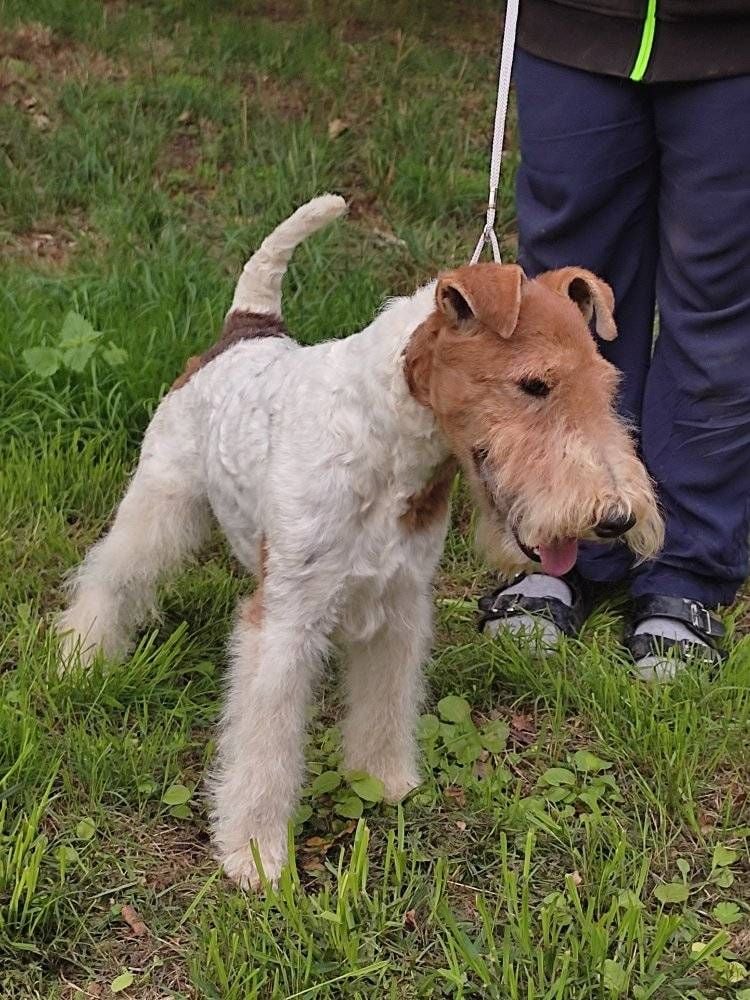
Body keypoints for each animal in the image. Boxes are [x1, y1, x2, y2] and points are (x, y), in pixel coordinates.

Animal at [58, 193, 664, 884]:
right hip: (159, 499)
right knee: (112, 574)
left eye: (605, 386)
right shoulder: (285, 619)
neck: (388, 442)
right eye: (534, 384)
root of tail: (246, 329)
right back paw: (82, 657)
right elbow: (265, 744)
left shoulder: (399, 603)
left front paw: (384, 781)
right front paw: (256, 855)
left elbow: (384, 704)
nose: (615, 518)